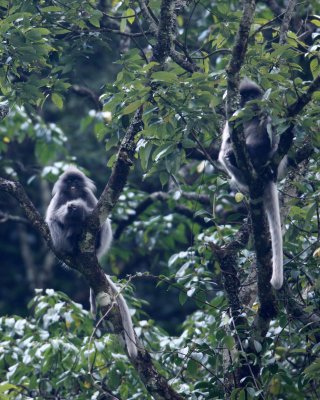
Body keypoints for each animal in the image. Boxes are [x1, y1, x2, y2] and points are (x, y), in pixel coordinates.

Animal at [45, 166, 138, 360]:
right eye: (69, 182)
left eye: (75, 181)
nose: (73, 184)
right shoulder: (59, 198)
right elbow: (53, 216)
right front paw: (70, 211)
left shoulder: (88, 196)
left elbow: (92, 213)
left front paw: (78, 209)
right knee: (54, 223)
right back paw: (71, 241)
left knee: (104, 223)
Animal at [220, 79, 284, 290]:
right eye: (244, 96)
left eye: (251, 96)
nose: (247, 101)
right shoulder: (232, 120)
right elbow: (226, 143)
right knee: (225, 152)